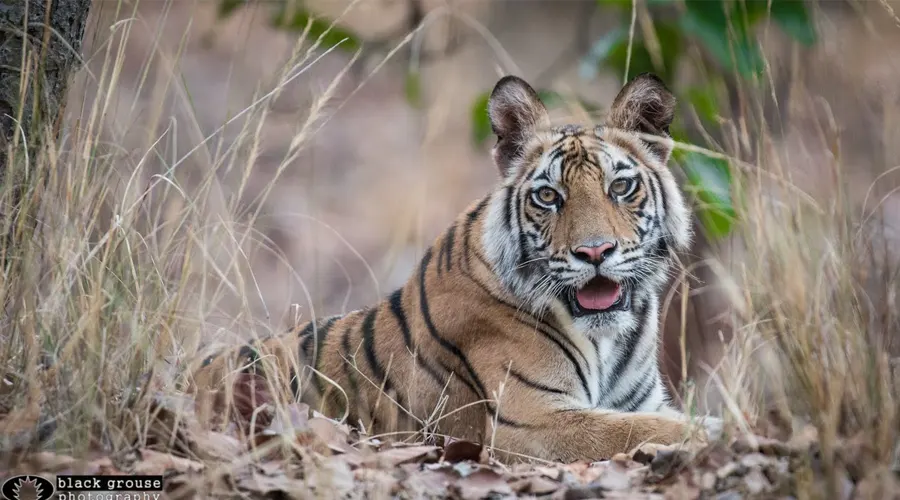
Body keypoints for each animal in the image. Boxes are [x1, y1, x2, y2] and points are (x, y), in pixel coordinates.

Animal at [188, 72, 724, 462]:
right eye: (549, 196)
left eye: (620, 187)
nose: (594, 252)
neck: (610, 336)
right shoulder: (532, 420)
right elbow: (647, 429)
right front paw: (720, 430)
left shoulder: (634, 400)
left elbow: (650, 419)